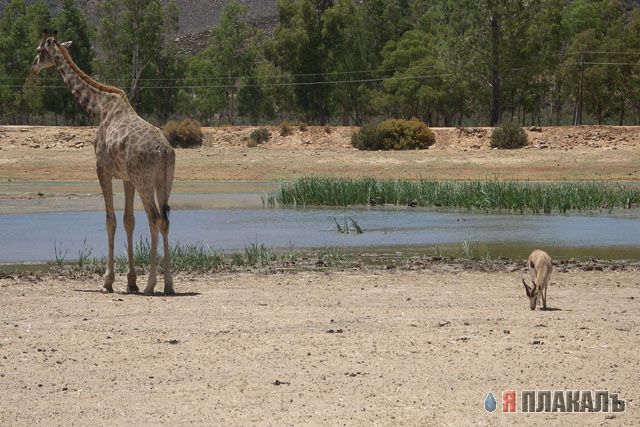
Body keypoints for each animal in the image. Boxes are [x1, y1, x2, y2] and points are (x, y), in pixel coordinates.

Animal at [32, 30, 175, 298]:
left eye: (39, 50)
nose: (33, 67)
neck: (99, 109)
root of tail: (164, 151)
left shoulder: (102, 169)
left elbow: (110, 220)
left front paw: (108, 281)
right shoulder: (127, 178)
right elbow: (129, 220)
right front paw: (131, 282)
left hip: (145, 180)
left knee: (154, 217)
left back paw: (151, 285)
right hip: (164, 180)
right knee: (165, 219)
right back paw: (169, 285)